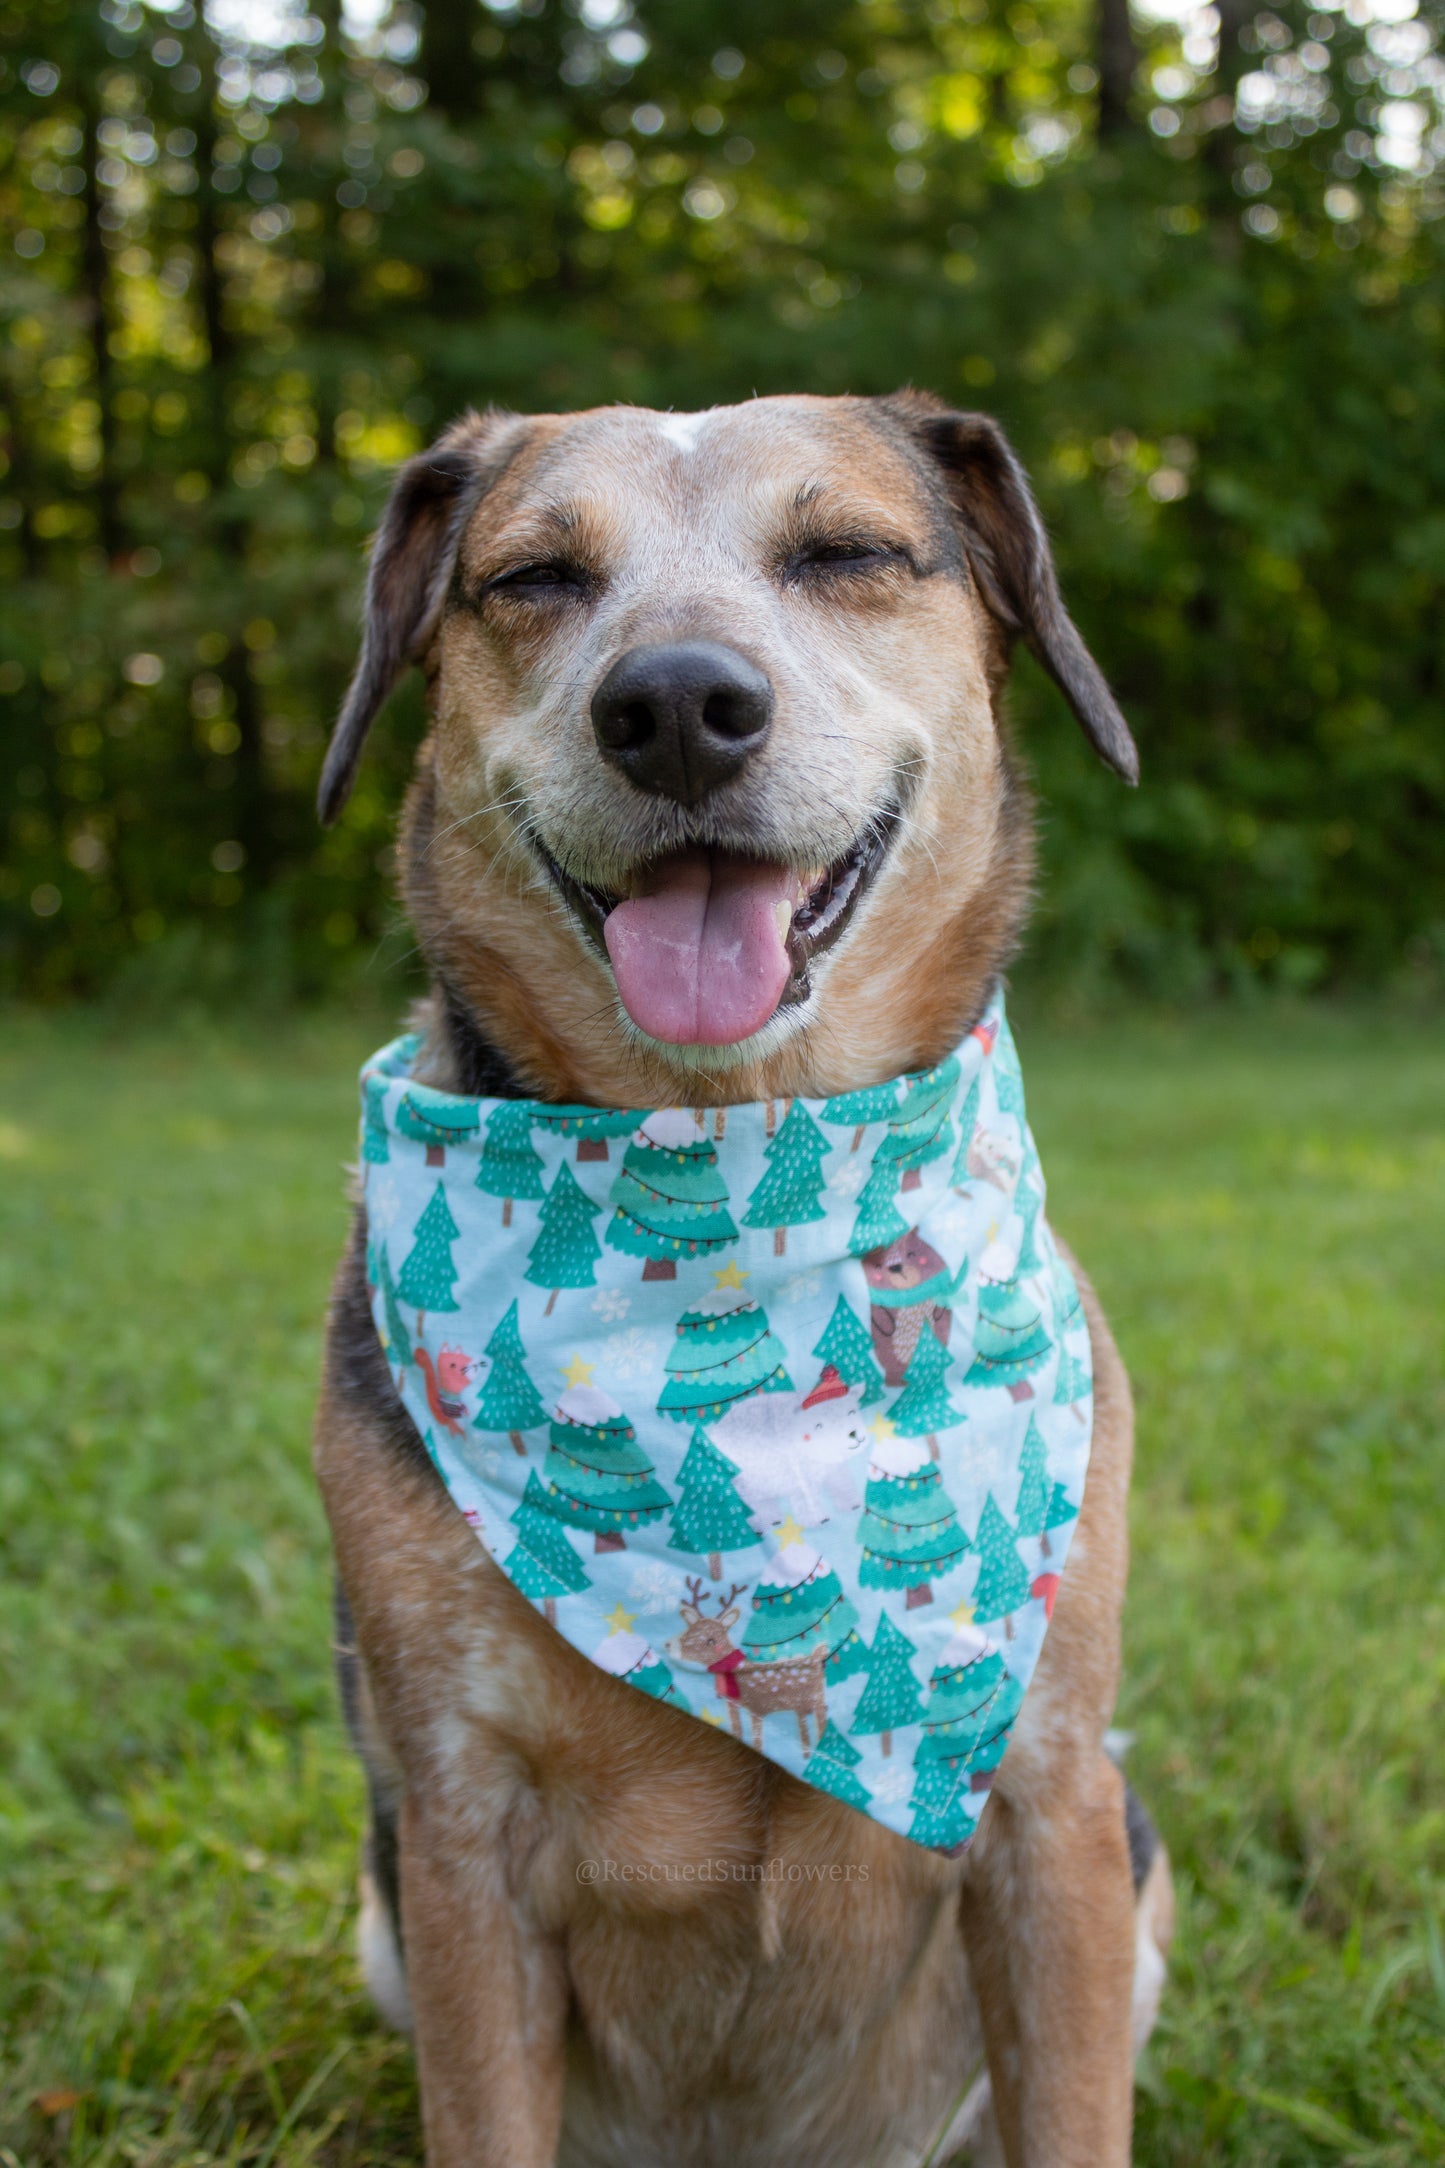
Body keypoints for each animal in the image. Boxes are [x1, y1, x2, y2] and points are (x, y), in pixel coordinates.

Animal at [314, 394, 1178, 2168]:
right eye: (533, 578)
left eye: (846, 551)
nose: (674, 709)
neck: (729, 1153)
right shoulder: (452, 1849)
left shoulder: (1051, 1812)